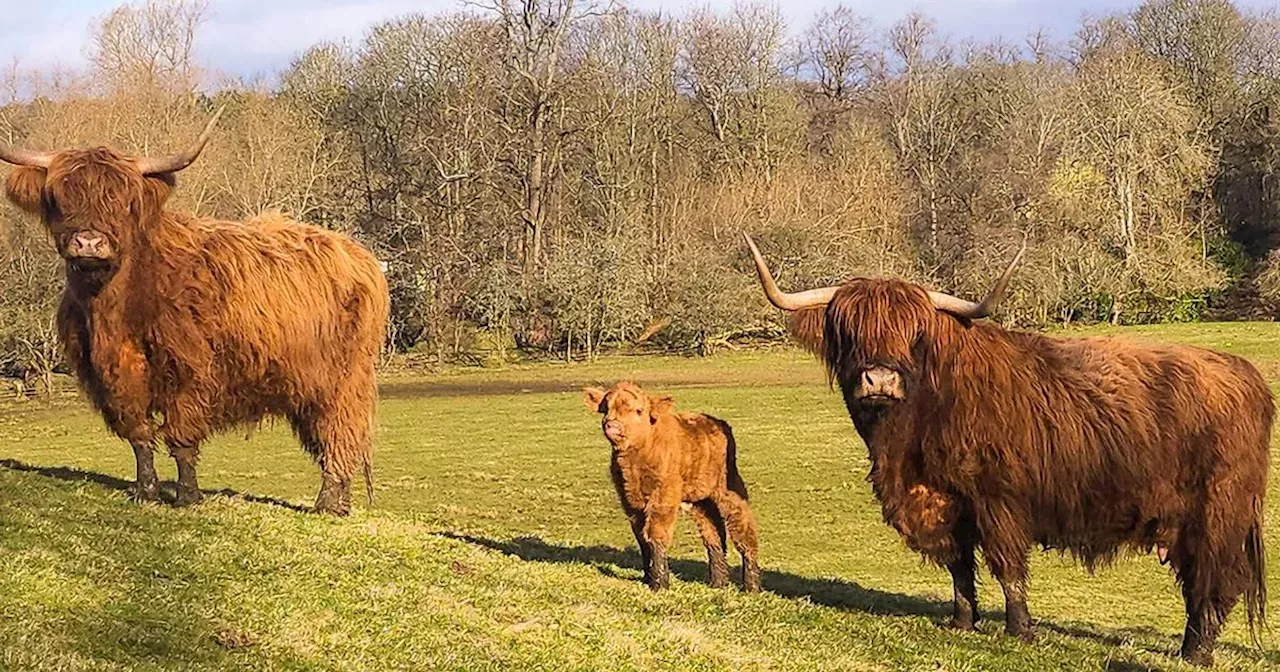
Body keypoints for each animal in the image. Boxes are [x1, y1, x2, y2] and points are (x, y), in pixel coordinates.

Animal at [1, 110, 389, 517]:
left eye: (125, 201)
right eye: (59, 197)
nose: (89, 242)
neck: (114, 310)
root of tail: (359, 254)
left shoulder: (189, 372)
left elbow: (181, 435)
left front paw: (187, 495)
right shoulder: (116, 377)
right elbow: (139, 436)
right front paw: (146, 491)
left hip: (345, 378)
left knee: (341, 432)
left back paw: (326, 503)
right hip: (306, 383)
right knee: (327, 437)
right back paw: (340, 504)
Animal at [583, 381, 757, 591]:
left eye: (639, 410)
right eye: (606, 409)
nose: (612, 425)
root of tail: (717, 422)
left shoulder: (663, 496)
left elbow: (656, 533)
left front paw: (659, 583)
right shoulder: (630, 501)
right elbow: (641, 537)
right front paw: (647, 577)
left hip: (728, 489)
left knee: (743, 528)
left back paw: (752, 586)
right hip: (700, 500)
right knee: (713, 534)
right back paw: (718, 582)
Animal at [747, 232, 1274, 660]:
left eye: (913, 334)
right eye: (848, 331)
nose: (879, 379)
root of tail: (1244, 373)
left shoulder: (998, 499)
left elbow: (1006, 566)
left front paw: (1020, 630)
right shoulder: (944, 501)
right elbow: (959, 566)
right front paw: (963, 621)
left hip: (1218, 515)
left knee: (1215, 583)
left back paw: (1198, 653)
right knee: (1198, 582)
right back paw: (1187, 649)